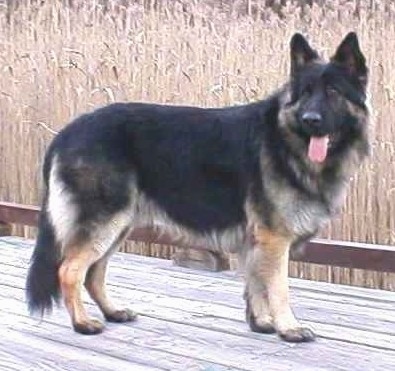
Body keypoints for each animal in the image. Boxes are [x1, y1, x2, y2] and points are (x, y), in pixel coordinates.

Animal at [26, 32, 370, 342]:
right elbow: (278, 288)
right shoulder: (275, 238)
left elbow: (256, 283)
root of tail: (66, 131)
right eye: (306, 93)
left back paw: (113, 312)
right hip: (105, 224)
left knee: (94, 274)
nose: (311, 119)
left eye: (332, 91)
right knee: (70, 271)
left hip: (118, 225)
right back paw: (83, 324)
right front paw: (288, 328)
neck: (285, 139)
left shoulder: (258, 240)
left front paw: (261, 323)